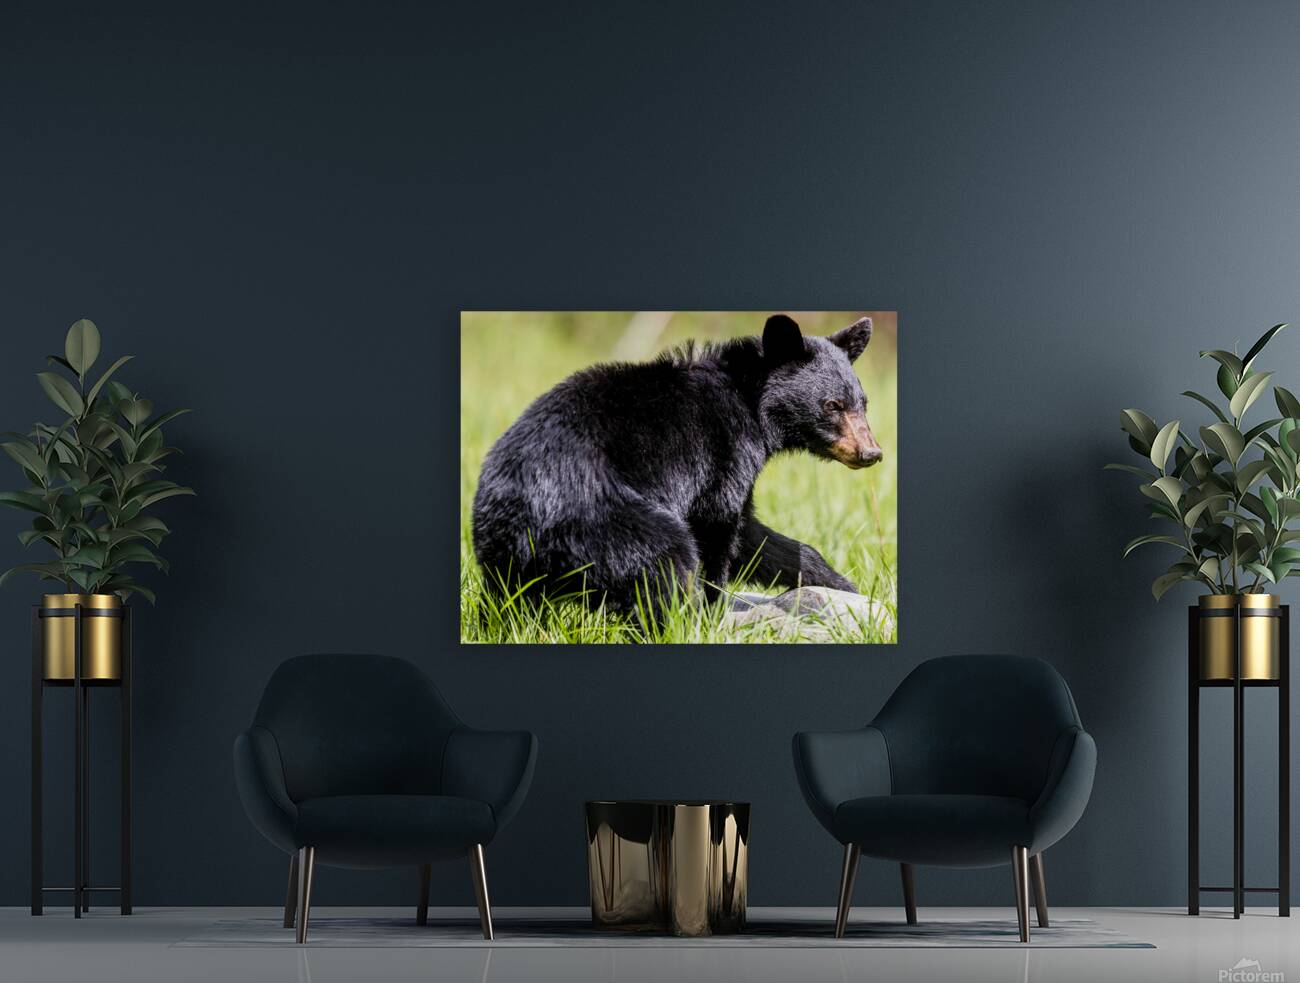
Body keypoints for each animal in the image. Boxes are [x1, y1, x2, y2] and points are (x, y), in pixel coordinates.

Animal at [470, 313, 883, 621]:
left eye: (862, 402)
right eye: (832, 405)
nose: (871, 452)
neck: (751, 403)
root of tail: (531, 515)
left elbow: (757, 537)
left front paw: (842, 586)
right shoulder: (726, 454)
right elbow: (719, 528)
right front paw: (713, 607)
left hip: (501, 553)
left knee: (508, 602)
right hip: (614, 522)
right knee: (665, 566)